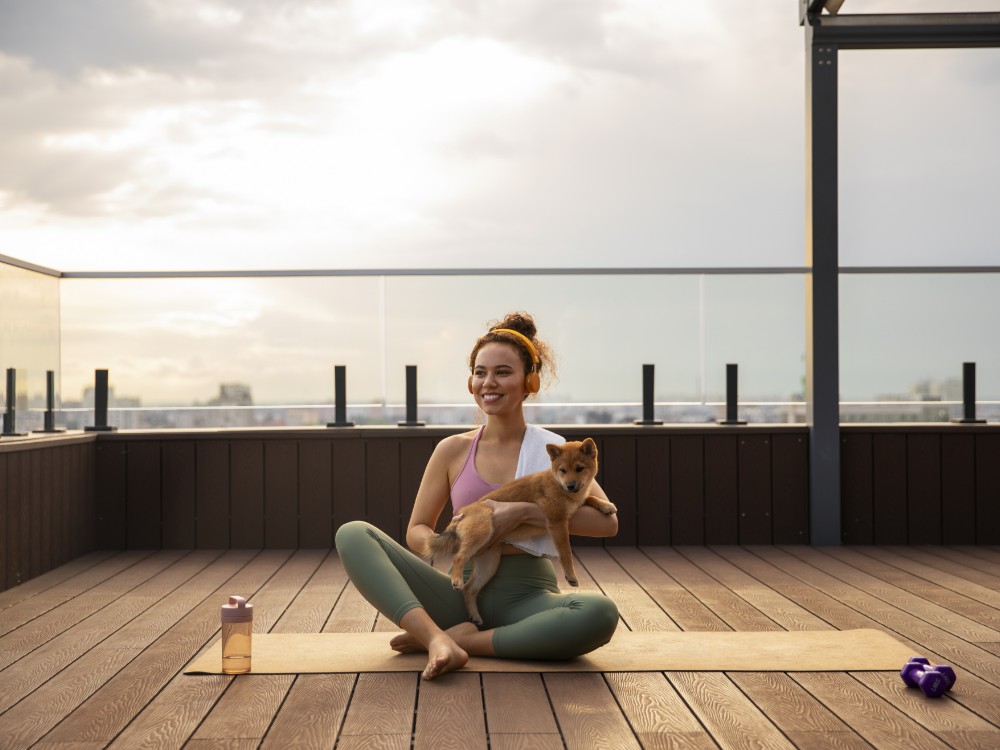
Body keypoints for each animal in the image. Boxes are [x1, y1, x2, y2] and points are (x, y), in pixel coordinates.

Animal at [424, 438, 612, 624]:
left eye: (579, 468)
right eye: (563, 470)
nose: (570, 486)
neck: (558, 485)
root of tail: (463, 513)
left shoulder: (575, 504)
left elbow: (590, 497)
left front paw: (606, 505)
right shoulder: (556, 522)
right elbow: (566, 553)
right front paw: (571, 575)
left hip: (489, 563)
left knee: (470, 588)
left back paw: (475, 616)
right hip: (482, 531)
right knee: (458, 558)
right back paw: (457, 580)